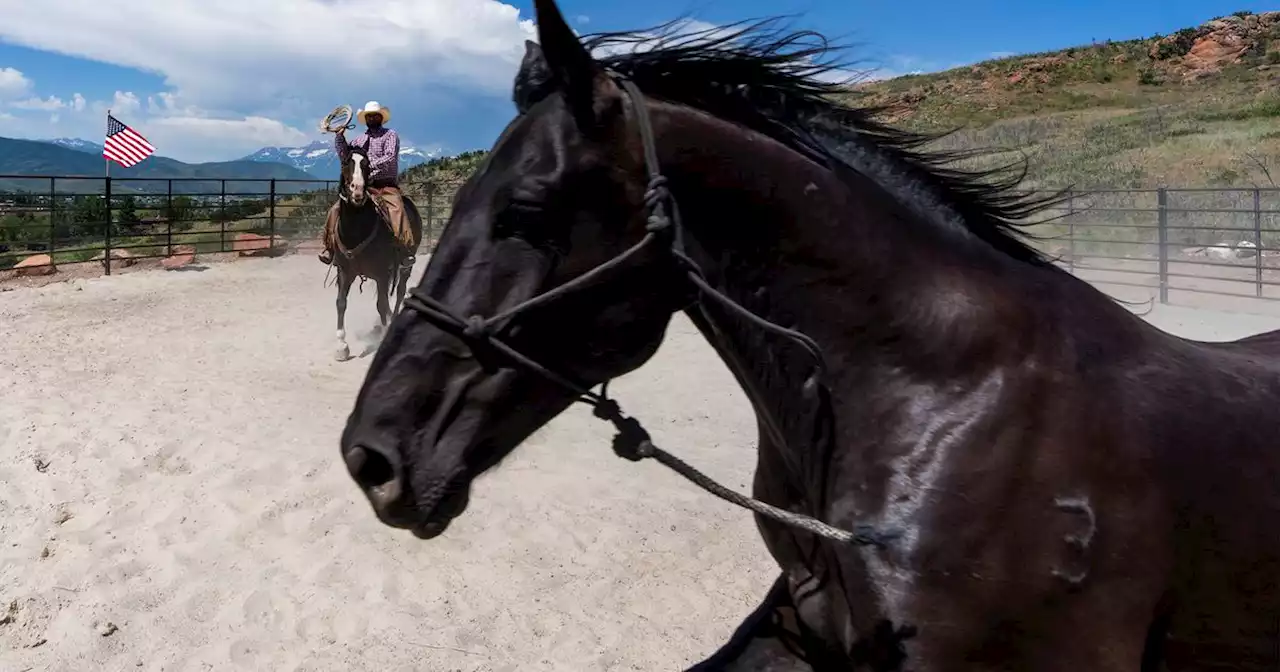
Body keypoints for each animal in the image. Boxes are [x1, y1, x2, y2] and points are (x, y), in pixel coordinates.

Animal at [330, 143, 424, 358]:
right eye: (345, 162)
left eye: (367, 164)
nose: (357, 191)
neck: (356, 230)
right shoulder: (345, 271)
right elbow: (341, 302)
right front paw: (341, 346)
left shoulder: (382, 273)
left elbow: (381, 304)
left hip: (405, 265)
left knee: (399, 291)